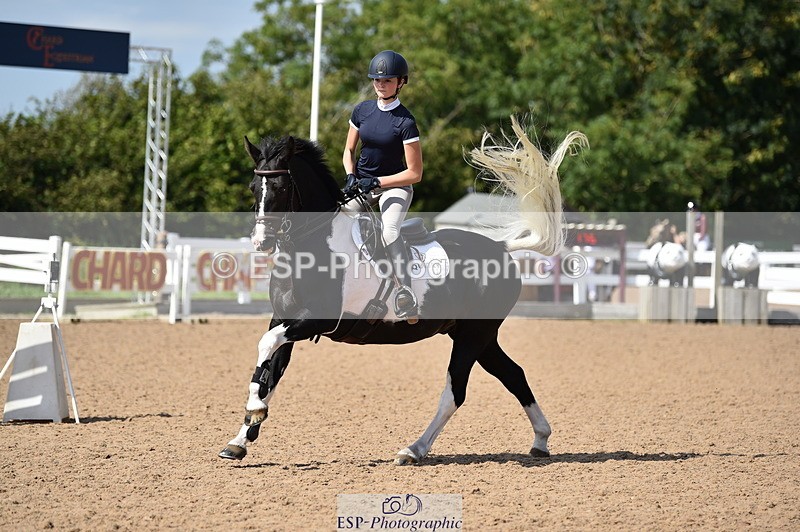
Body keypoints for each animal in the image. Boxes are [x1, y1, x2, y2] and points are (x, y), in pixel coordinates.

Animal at [218, 118, 588, 464]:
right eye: (253, 187)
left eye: (281, 187)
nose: (261, 242)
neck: (311, 248)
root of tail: (500, 248)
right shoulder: (284, 319)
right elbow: (269, 373)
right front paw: (240, 438)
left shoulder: (316, 320)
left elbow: (265, 348)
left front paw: (254, 412)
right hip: (476, 336)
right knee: (513, 374)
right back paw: (540, 440)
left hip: (473, 335)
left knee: (455, 393)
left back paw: (414, 449)